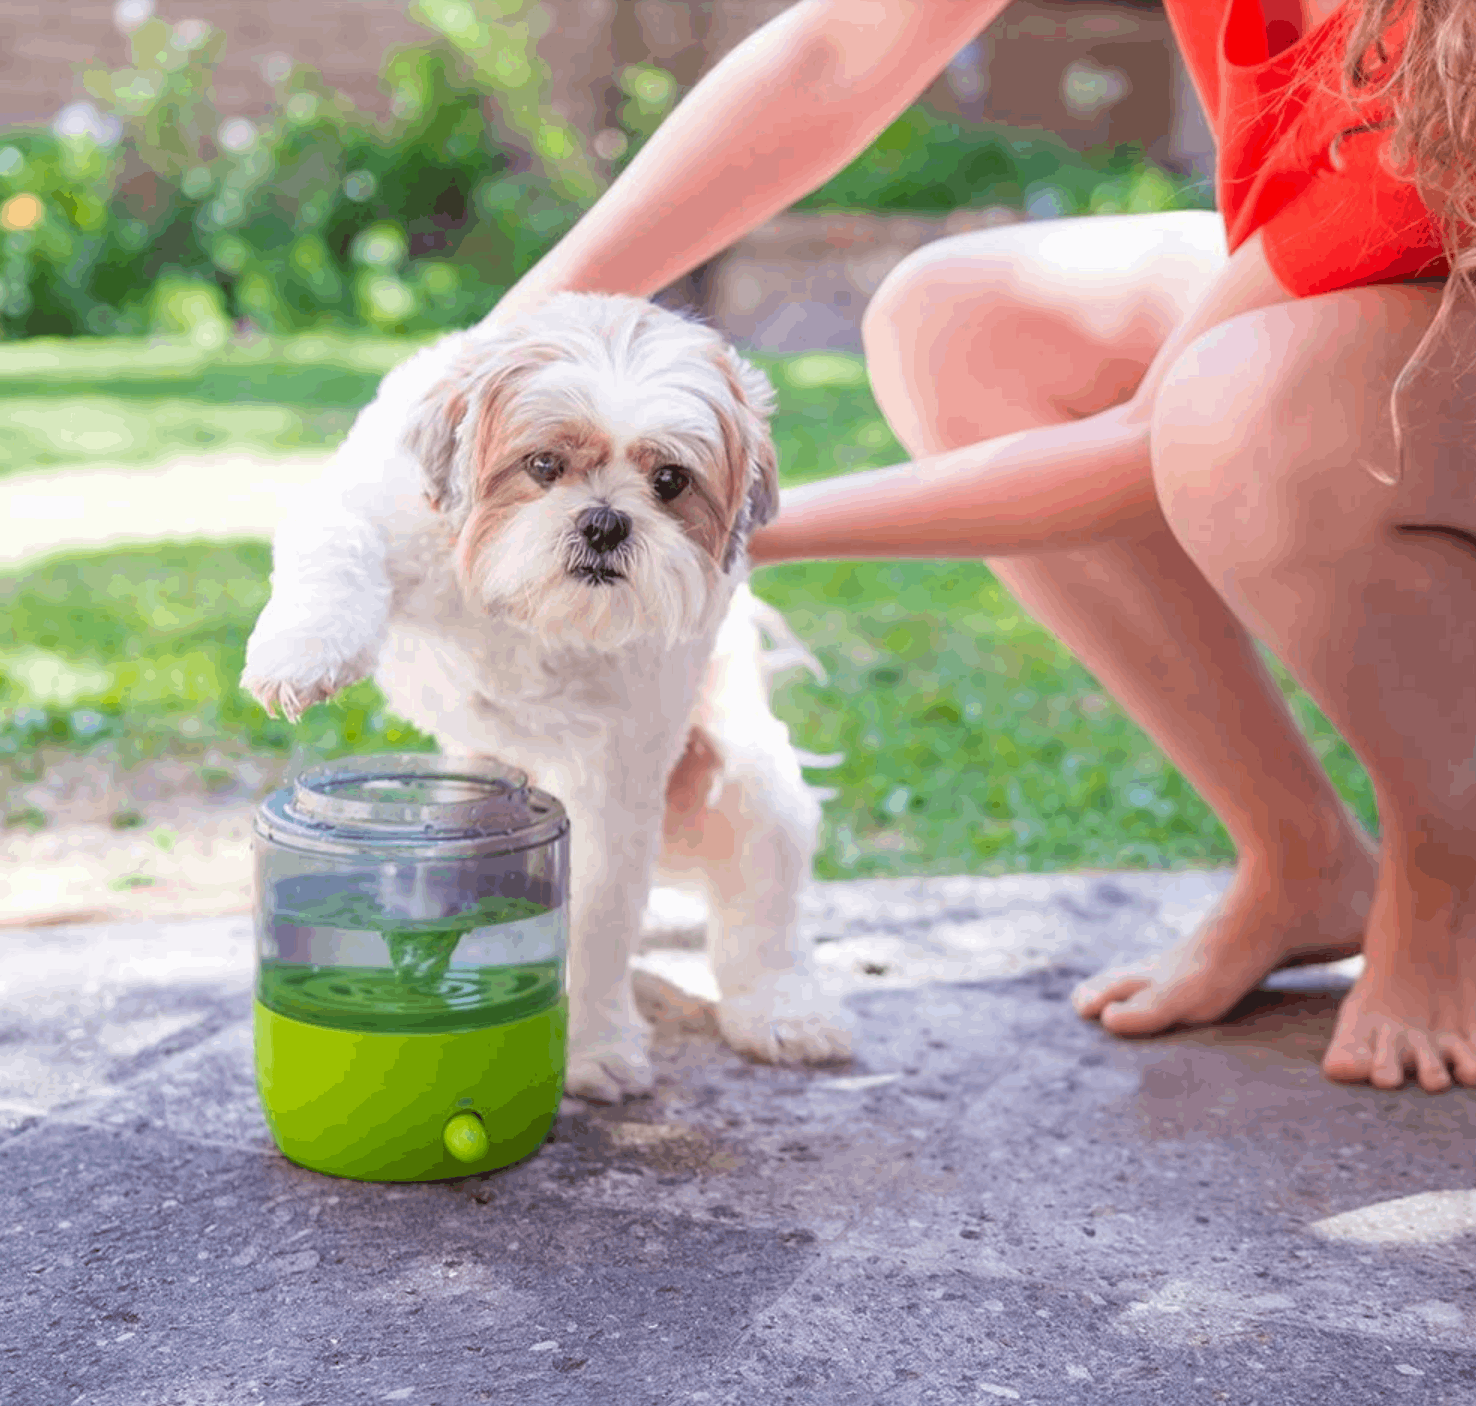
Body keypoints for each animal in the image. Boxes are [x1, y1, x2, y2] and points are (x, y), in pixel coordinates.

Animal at [242, 287, 856, 1097]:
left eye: (670, 481)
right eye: (542, 464)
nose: (604, 521)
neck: (526, 608)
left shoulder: (620, 773)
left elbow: (598, 912)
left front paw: (592, 1045)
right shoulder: (378, 509)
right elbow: (334, 547)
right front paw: (304, 650)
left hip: (751, 779)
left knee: (765, 911)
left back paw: (784, 1012)